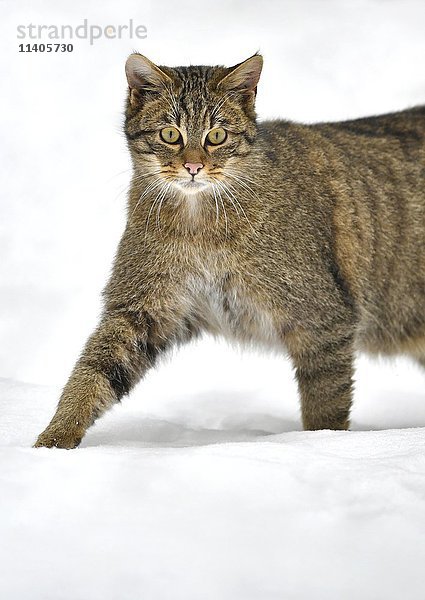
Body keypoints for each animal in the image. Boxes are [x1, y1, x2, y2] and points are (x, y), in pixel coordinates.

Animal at [34, 54, 424, 448]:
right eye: (170, 134)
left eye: (216, 135)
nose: (193, 166)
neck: (199, 228)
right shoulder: (140, 310)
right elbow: (93, 373)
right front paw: (56, 437)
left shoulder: (323, 319)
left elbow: (325, 407)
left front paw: (319, 444)